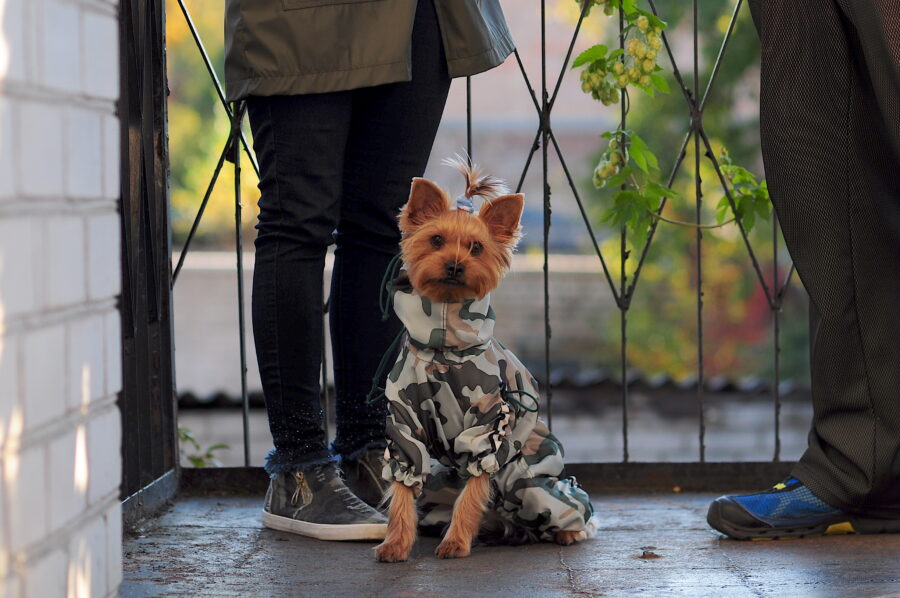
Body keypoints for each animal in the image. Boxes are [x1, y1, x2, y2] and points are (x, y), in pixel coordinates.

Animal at [372, 158, 596, 564]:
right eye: (436, 240)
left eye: (476, 247)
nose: (455, 265)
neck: (443, 351)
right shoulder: (404, 428)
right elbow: (403, 489)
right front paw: (396, 544)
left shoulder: (487, 430)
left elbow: (474, 490)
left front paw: (456, 543)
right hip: (441, 483)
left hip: (529, 482)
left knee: (568, 504)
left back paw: (568, 532)